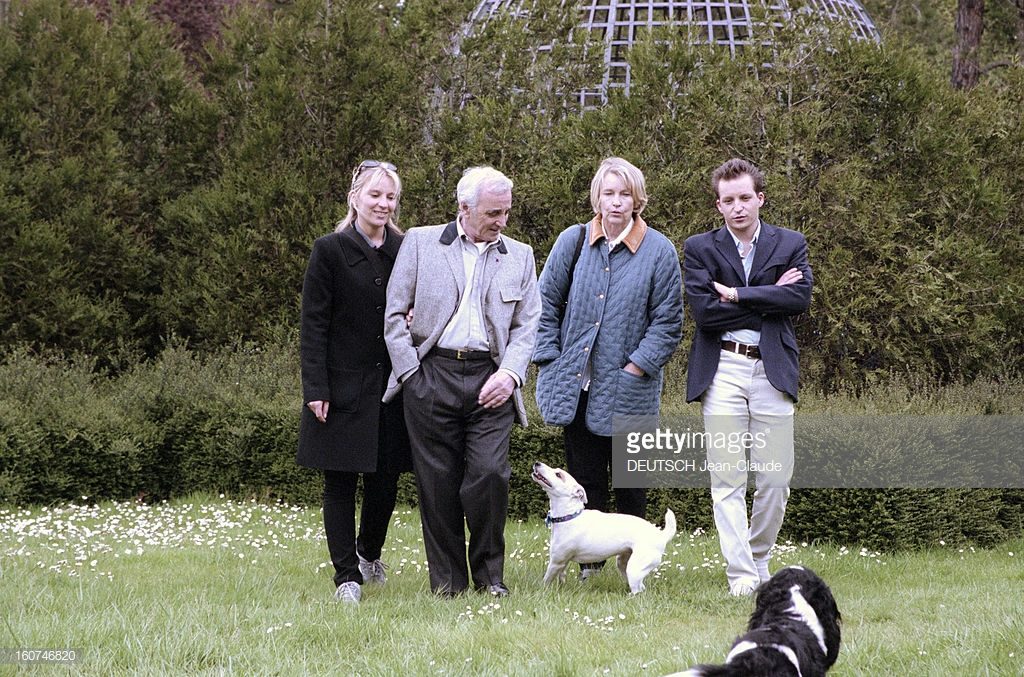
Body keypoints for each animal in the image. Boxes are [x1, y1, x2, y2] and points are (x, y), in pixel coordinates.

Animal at [530, 461, 676, 594]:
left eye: (558, 474)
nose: (537, 463)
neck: (570, 516)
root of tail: (661, 535)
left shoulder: (556, 562)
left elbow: (546, 580)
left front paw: (540, 591)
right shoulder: (563, 563)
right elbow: (562, 577)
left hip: (634, 569)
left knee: (637, 590)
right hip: (623, 563)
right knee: (641, 588)